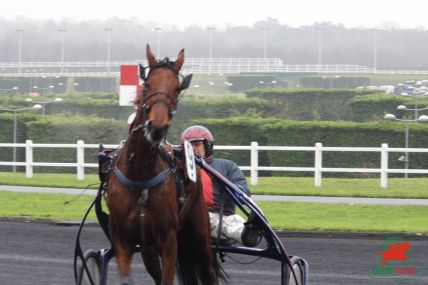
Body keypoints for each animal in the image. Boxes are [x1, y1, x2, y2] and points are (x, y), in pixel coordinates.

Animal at [106, 45, 224, 282]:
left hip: (199, 234)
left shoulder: (169, 240)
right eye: (147, 84)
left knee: (207, 271)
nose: (157, 127)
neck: (139, 175)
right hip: (149, 248)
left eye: (177, 88)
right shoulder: (123, 240)